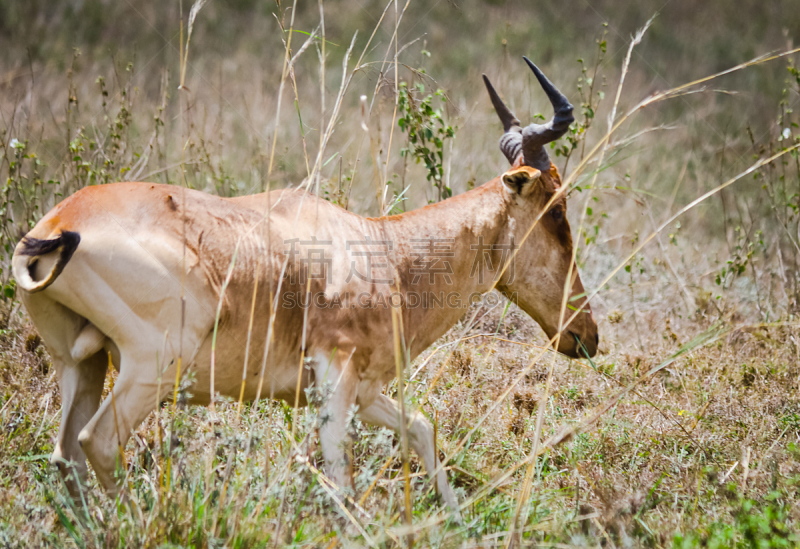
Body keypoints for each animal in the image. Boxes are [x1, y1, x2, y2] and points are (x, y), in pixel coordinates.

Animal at [12, 58, 596, 510]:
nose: (586, 335)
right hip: (151, 364)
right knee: (99, 442)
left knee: (66, 454)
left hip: (79, 364)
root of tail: (58, 224)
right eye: (557, 211)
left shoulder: (361, 390)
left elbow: (421, 426)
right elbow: (341, 482)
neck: (380, 246)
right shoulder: (335, 378)